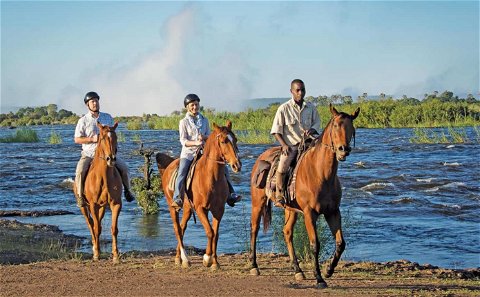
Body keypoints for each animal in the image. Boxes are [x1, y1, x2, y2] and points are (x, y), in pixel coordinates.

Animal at [73, 121, 123, 262]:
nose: (111, 159)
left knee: (97, 224)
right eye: (103, 138)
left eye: (116, 137)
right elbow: (96, 228)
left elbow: (113, 229)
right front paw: (96, 254)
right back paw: (95, 247)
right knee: (91, 224)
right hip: (85, 207)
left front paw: (115, 255)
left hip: (102, 207)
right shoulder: (93, 205)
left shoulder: (115, 204)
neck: (103, 177)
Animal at [157, 119, 242, 268]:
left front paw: (215, 262)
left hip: (187, 208)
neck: (210, 177)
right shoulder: (200, 208)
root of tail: (168, 167)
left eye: (235, 139)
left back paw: (178, 258)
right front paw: (207, 258)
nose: (237, 165)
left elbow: (216, 233)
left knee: (182, 227)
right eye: (224, 141)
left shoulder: (218, 209)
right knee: (177, 229)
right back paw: (185, 259)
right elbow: (209, 232)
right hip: (173, 207)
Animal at [249, 104, 358, 286]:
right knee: (254, 229)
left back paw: (297, 270)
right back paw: (253, 266)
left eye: (352, 128)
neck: (321, 174)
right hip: (258, 203)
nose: (344, 149)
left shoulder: (333, 212)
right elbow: (315, 244)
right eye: (336, 125)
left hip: (290, 209)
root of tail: (261, 159)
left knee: (287, 232)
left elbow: (340, 243)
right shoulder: (309, 213)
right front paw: (319, 278)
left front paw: (329, 270)